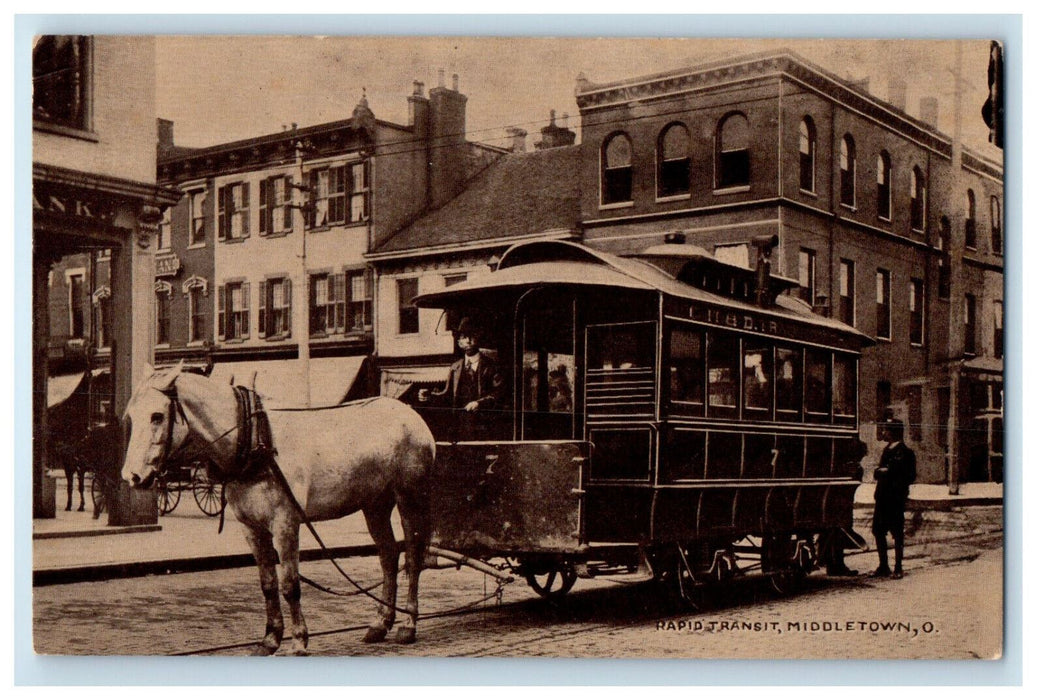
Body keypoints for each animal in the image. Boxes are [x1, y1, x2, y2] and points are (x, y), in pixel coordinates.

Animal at [120, 365, 434, 656]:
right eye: (131, 417)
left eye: (157, 416)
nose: (131, 477)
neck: (255, 440)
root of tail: (410, 414)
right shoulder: (251, 527)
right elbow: (268, 584)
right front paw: (270, 639)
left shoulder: (285, 523)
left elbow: (290, 584)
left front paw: (298, 641)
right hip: (375, 504)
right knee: (389, 556)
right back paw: (381, 624)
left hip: (410, 498)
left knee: (413, 557)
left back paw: (409, 624)